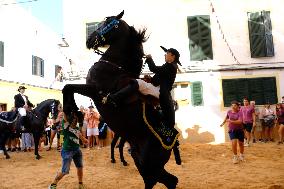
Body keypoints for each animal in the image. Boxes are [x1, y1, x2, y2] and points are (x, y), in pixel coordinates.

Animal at [62, 11, 178, 188]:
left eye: (107, 23)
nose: (89, 39)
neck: (114, 66)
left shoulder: (95, 91)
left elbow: (68, 87)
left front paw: (72, 110)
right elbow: (67, 87)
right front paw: (72, 112)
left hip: (148, 164)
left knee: (159, 181)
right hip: (140, 159)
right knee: (170, 180)